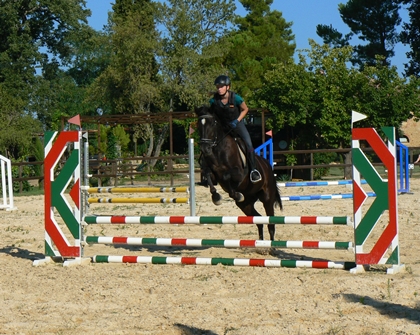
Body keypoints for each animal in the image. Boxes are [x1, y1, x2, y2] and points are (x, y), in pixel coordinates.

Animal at [194, 106, 282, 240]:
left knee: (270, 223)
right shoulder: (213, 175)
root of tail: (268, 167)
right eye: (199, 125)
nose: (205, 149)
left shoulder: (239, 174)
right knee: (259, 220)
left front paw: (235, 194)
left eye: (212, 124)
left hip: (267, 198)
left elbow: (226, 176)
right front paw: (216, 197)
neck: (218, 150)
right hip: (246, 204)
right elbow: (209, 178)